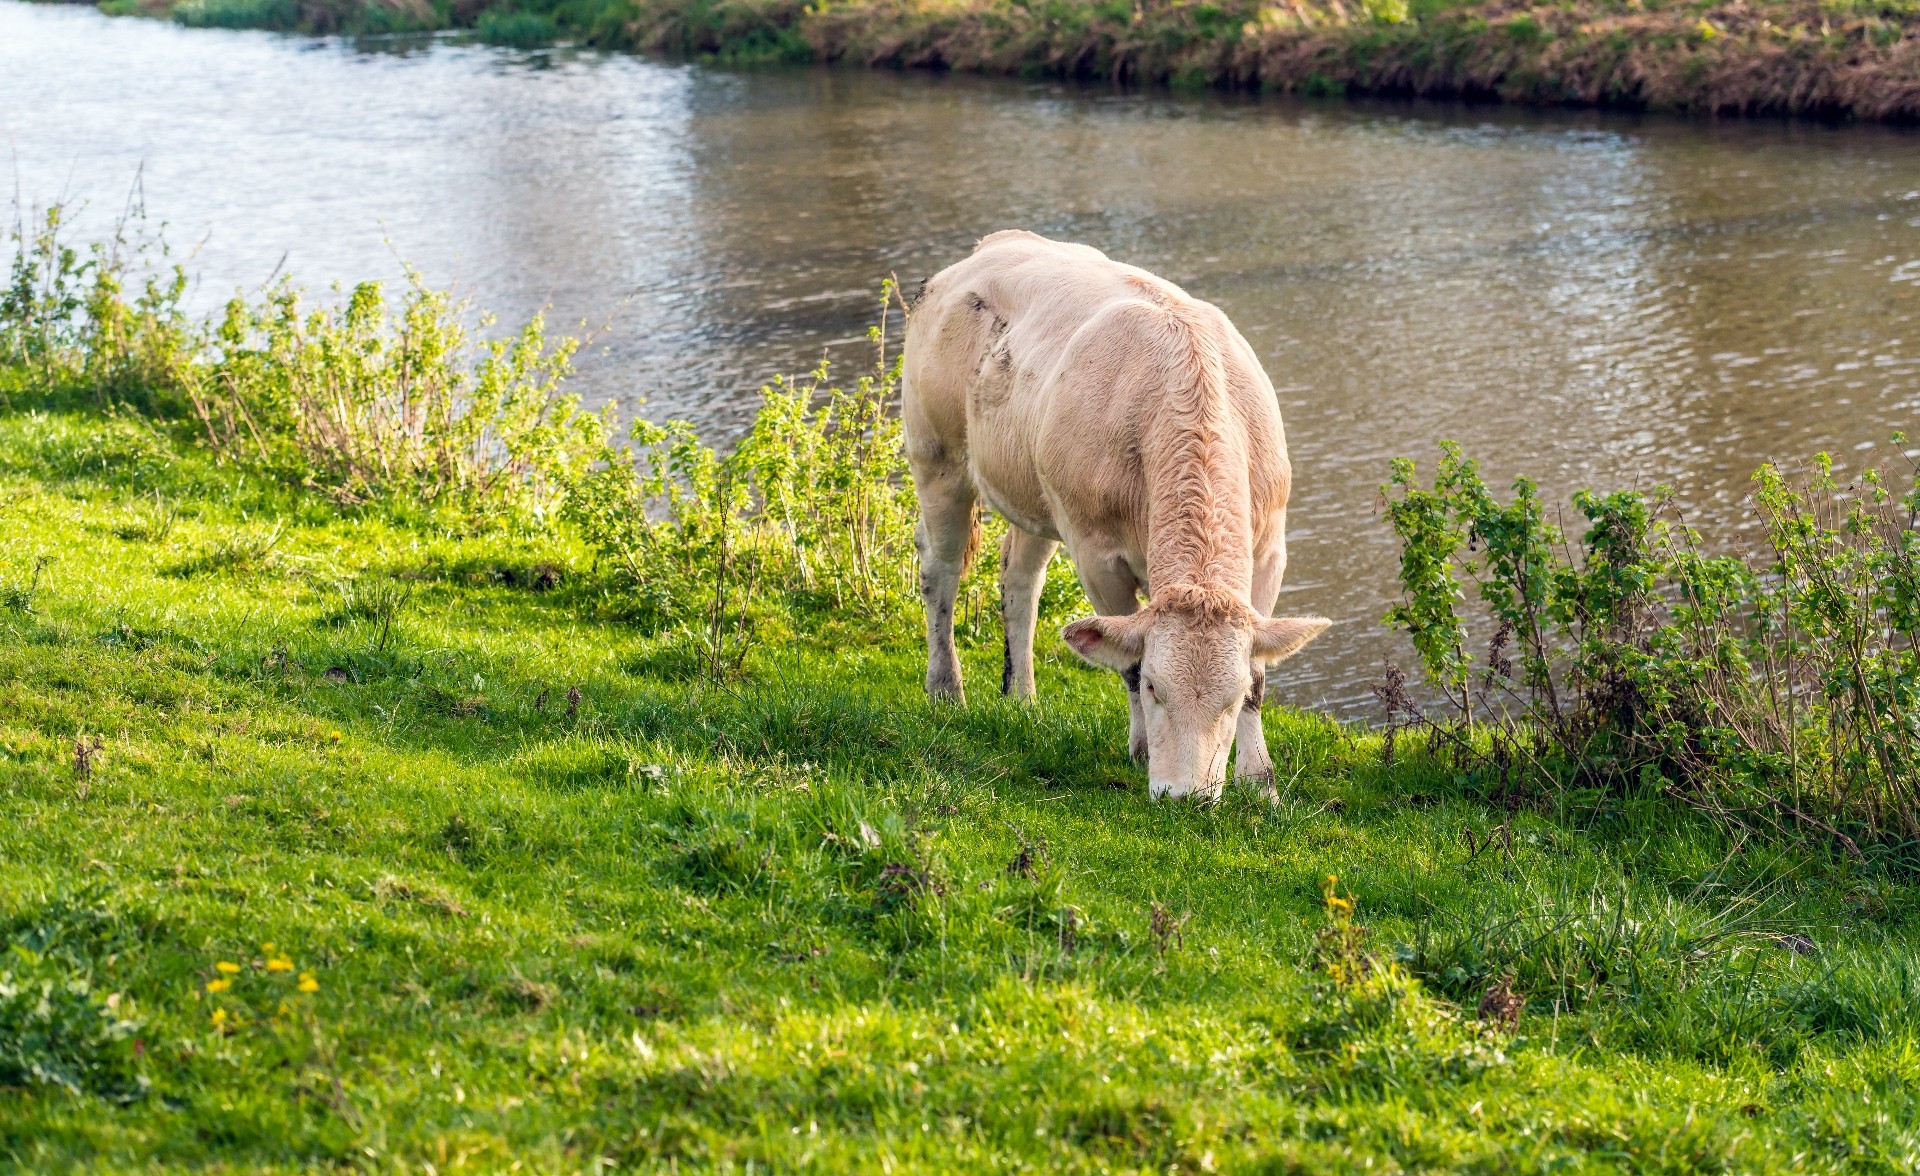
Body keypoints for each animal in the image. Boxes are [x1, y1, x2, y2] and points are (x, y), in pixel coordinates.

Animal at [902, 229, 1336, 799]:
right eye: (1154, 687)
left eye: (1230, 696)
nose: (1187, 798)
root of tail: (993, 244)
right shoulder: (1095, 554)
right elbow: (1124, 658)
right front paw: (1144, 751)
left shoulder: (1268, 551)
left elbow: (1261, 675)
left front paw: (1259, 780)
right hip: (938, 458)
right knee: (941, 571)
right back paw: (946, 689)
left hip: (1035, 493)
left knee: (1020, 579)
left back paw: (1022, 698)